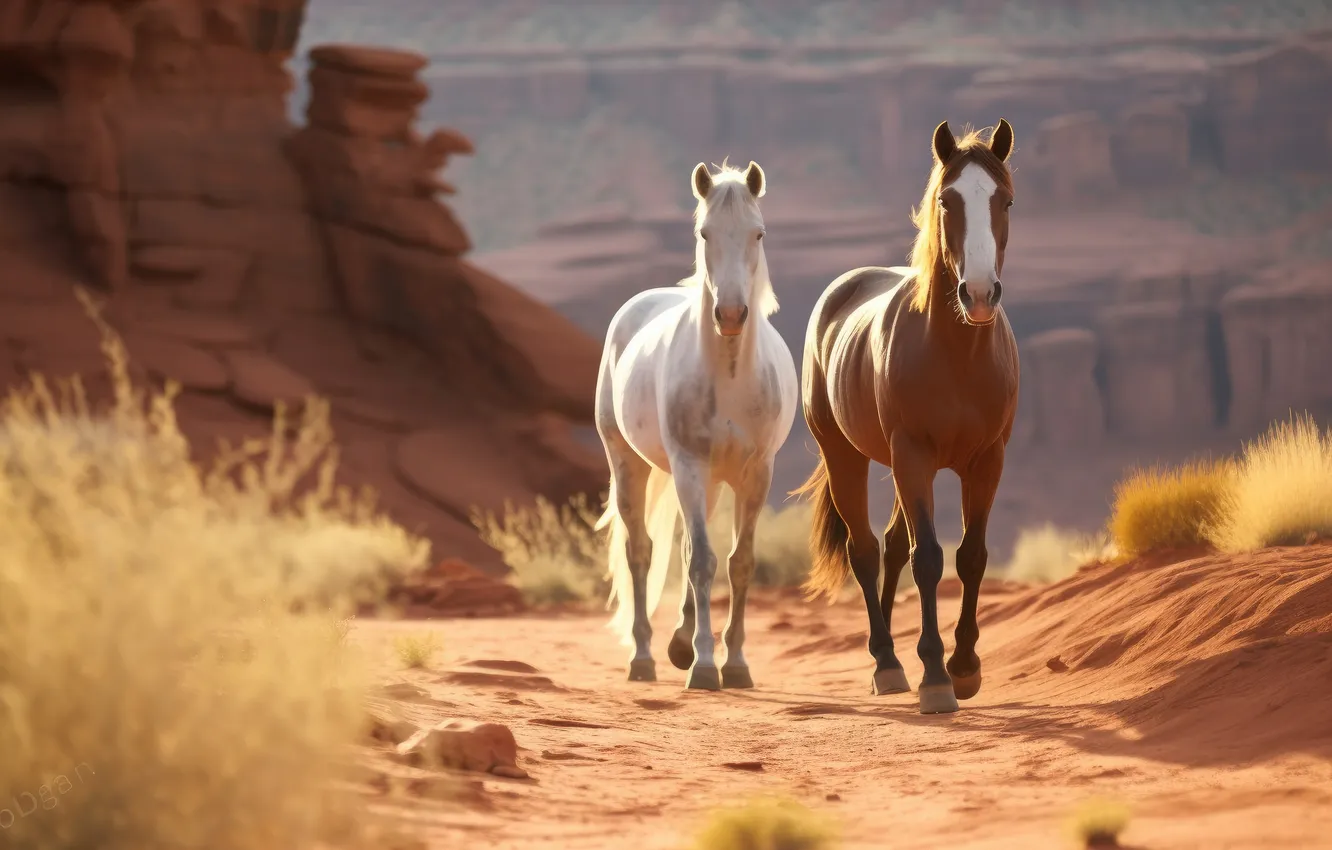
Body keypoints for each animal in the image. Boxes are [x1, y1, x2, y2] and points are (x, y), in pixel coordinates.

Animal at [593, 159, 799, 690]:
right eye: (705, 233)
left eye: (758, 233)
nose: (730, 314)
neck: (729, 375)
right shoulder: (688, 465)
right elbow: (703, 562)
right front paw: (706, 665)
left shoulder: (755, 473)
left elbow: (739, 562)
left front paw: (737, 663)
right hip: (630, 464)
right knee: (642, 551)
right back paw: (644, 656)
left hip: (710, 481)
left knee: (686, 547)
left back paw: (679, 644)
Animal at [794, 119, 1019, 715]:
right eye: (947, 200)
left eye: (1006, 200)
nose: (979, 294)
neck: (956, 355)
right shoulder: (913, 456)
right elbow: (929, 561)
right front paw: (936, 676)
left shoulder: (987, 462)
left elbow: (971, 557)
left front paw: (964, 666)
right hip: (848, 457)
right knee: (867, 551)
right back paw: (888, 662)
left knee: (892, 547)